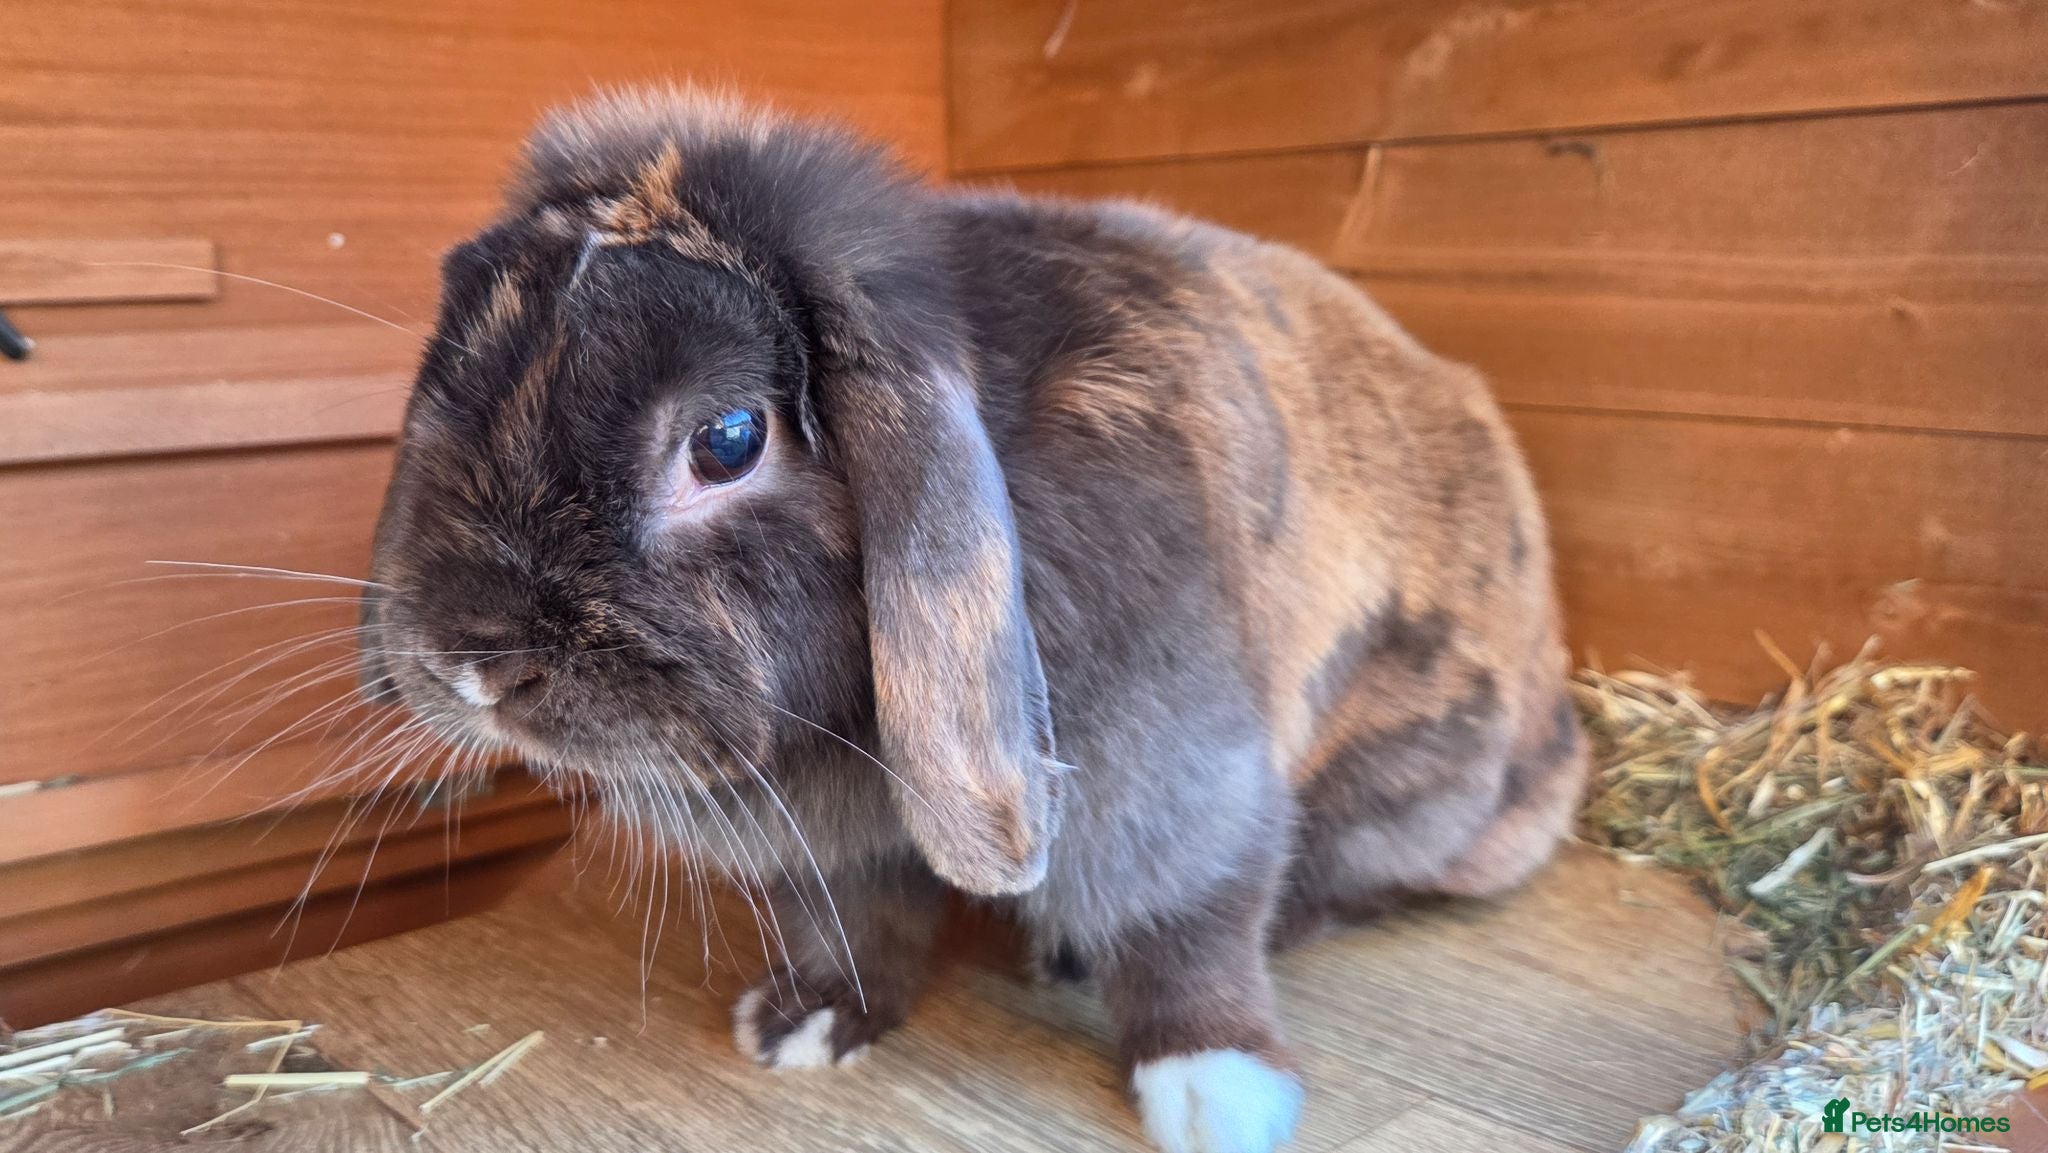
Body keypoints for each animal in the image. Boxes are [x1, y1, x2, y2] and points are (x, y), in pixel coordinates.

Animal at [357, 87, 1587, 1153]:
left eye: (728, 439)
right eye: (450, 391)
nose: (474, 664)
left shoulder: (1172, 771)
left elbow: (1186, 919)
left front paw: (1215, 1089)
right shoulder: (834, 850)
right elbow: (851, 924)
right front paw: (805, 1023)